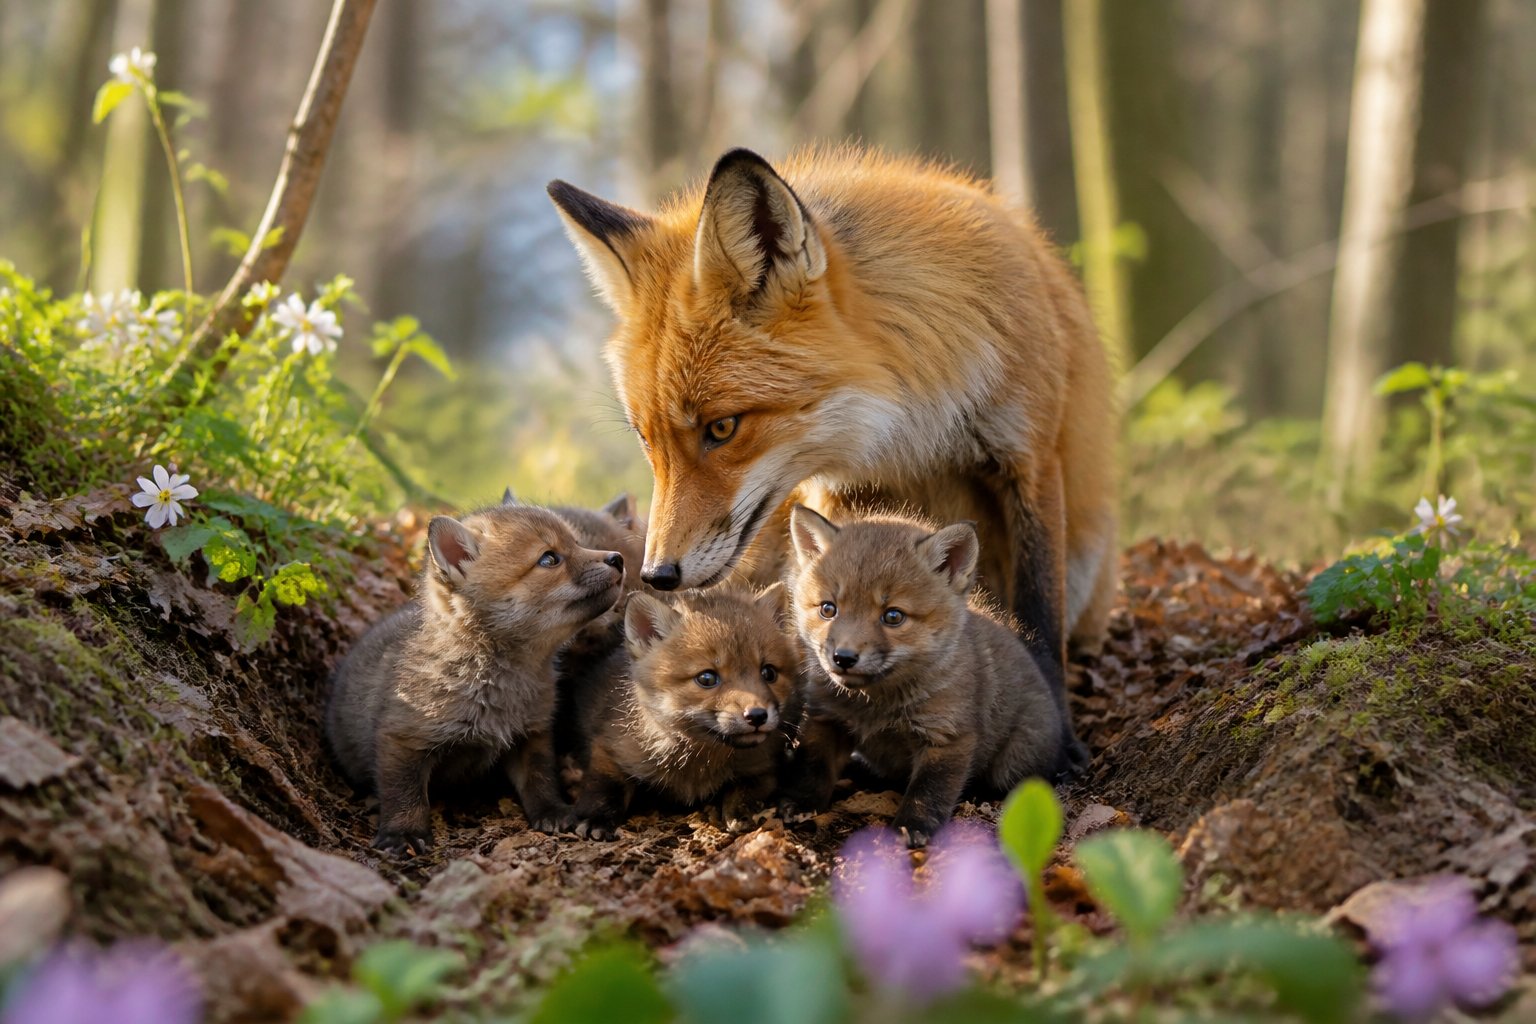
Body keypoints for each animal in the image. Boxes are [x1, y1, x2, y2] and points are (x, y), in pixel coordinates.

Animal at [325, 502, 624, 854]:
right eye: (549, 559)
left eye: (577, 543)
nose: (618, 558)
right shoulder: (403, 738)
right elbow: (405, 795)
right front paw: (404, 833)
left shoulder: (531, 734)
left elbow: (541, 780)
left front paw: (553, 812)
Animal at [547, 144, 1118, 708]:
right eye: (647, 440)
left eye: (722, 428)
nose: (657, 574)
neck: (911, 432)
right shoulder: (838, 496)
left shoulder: (1029, 461)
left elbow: (1038, 618)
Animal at [569, 585, 801, 839]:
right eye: (707, 678)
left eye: (769, 673)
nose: (758, 715)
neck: (699, 762)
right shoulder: (610, 746)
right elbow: (605, 786)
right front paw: (596, 818)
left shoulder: (764, 766)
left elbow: (745, 791)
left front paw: (742, 812)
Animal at [779, 505, 1072, 848]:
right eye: (828, 609)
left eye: (893, 616)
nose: (844, 658)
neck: (875, 706)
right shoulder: (827, 719)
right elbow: (813, 765)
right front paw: (800, 801)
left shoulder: (946, 736)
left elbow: (928, 790)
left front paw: (913, 826)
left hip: (1013, 763)